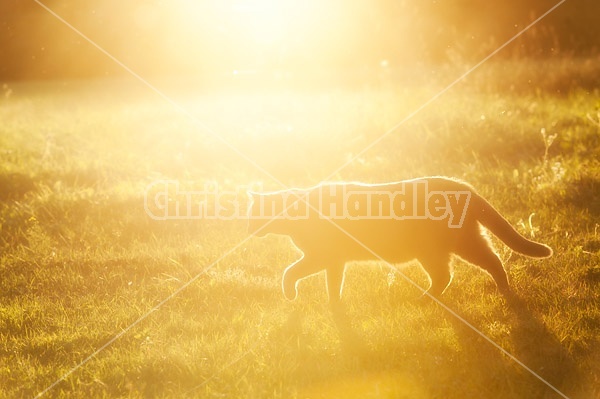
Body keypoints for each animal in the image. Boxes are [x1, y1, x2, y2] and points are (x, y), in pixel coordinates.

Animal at [247, 178, 552, 304]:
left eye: (253, 215)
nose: (248, 230)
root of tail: (466, 187)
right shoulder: (334, 261)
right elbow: (333, 284)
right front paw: (334, 305)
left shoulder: (320, 256)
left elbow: (290, 272)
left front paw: (290, 295)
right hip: (455, 244)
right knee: (462, 270)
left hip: (449, 247)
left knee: (468, 268)